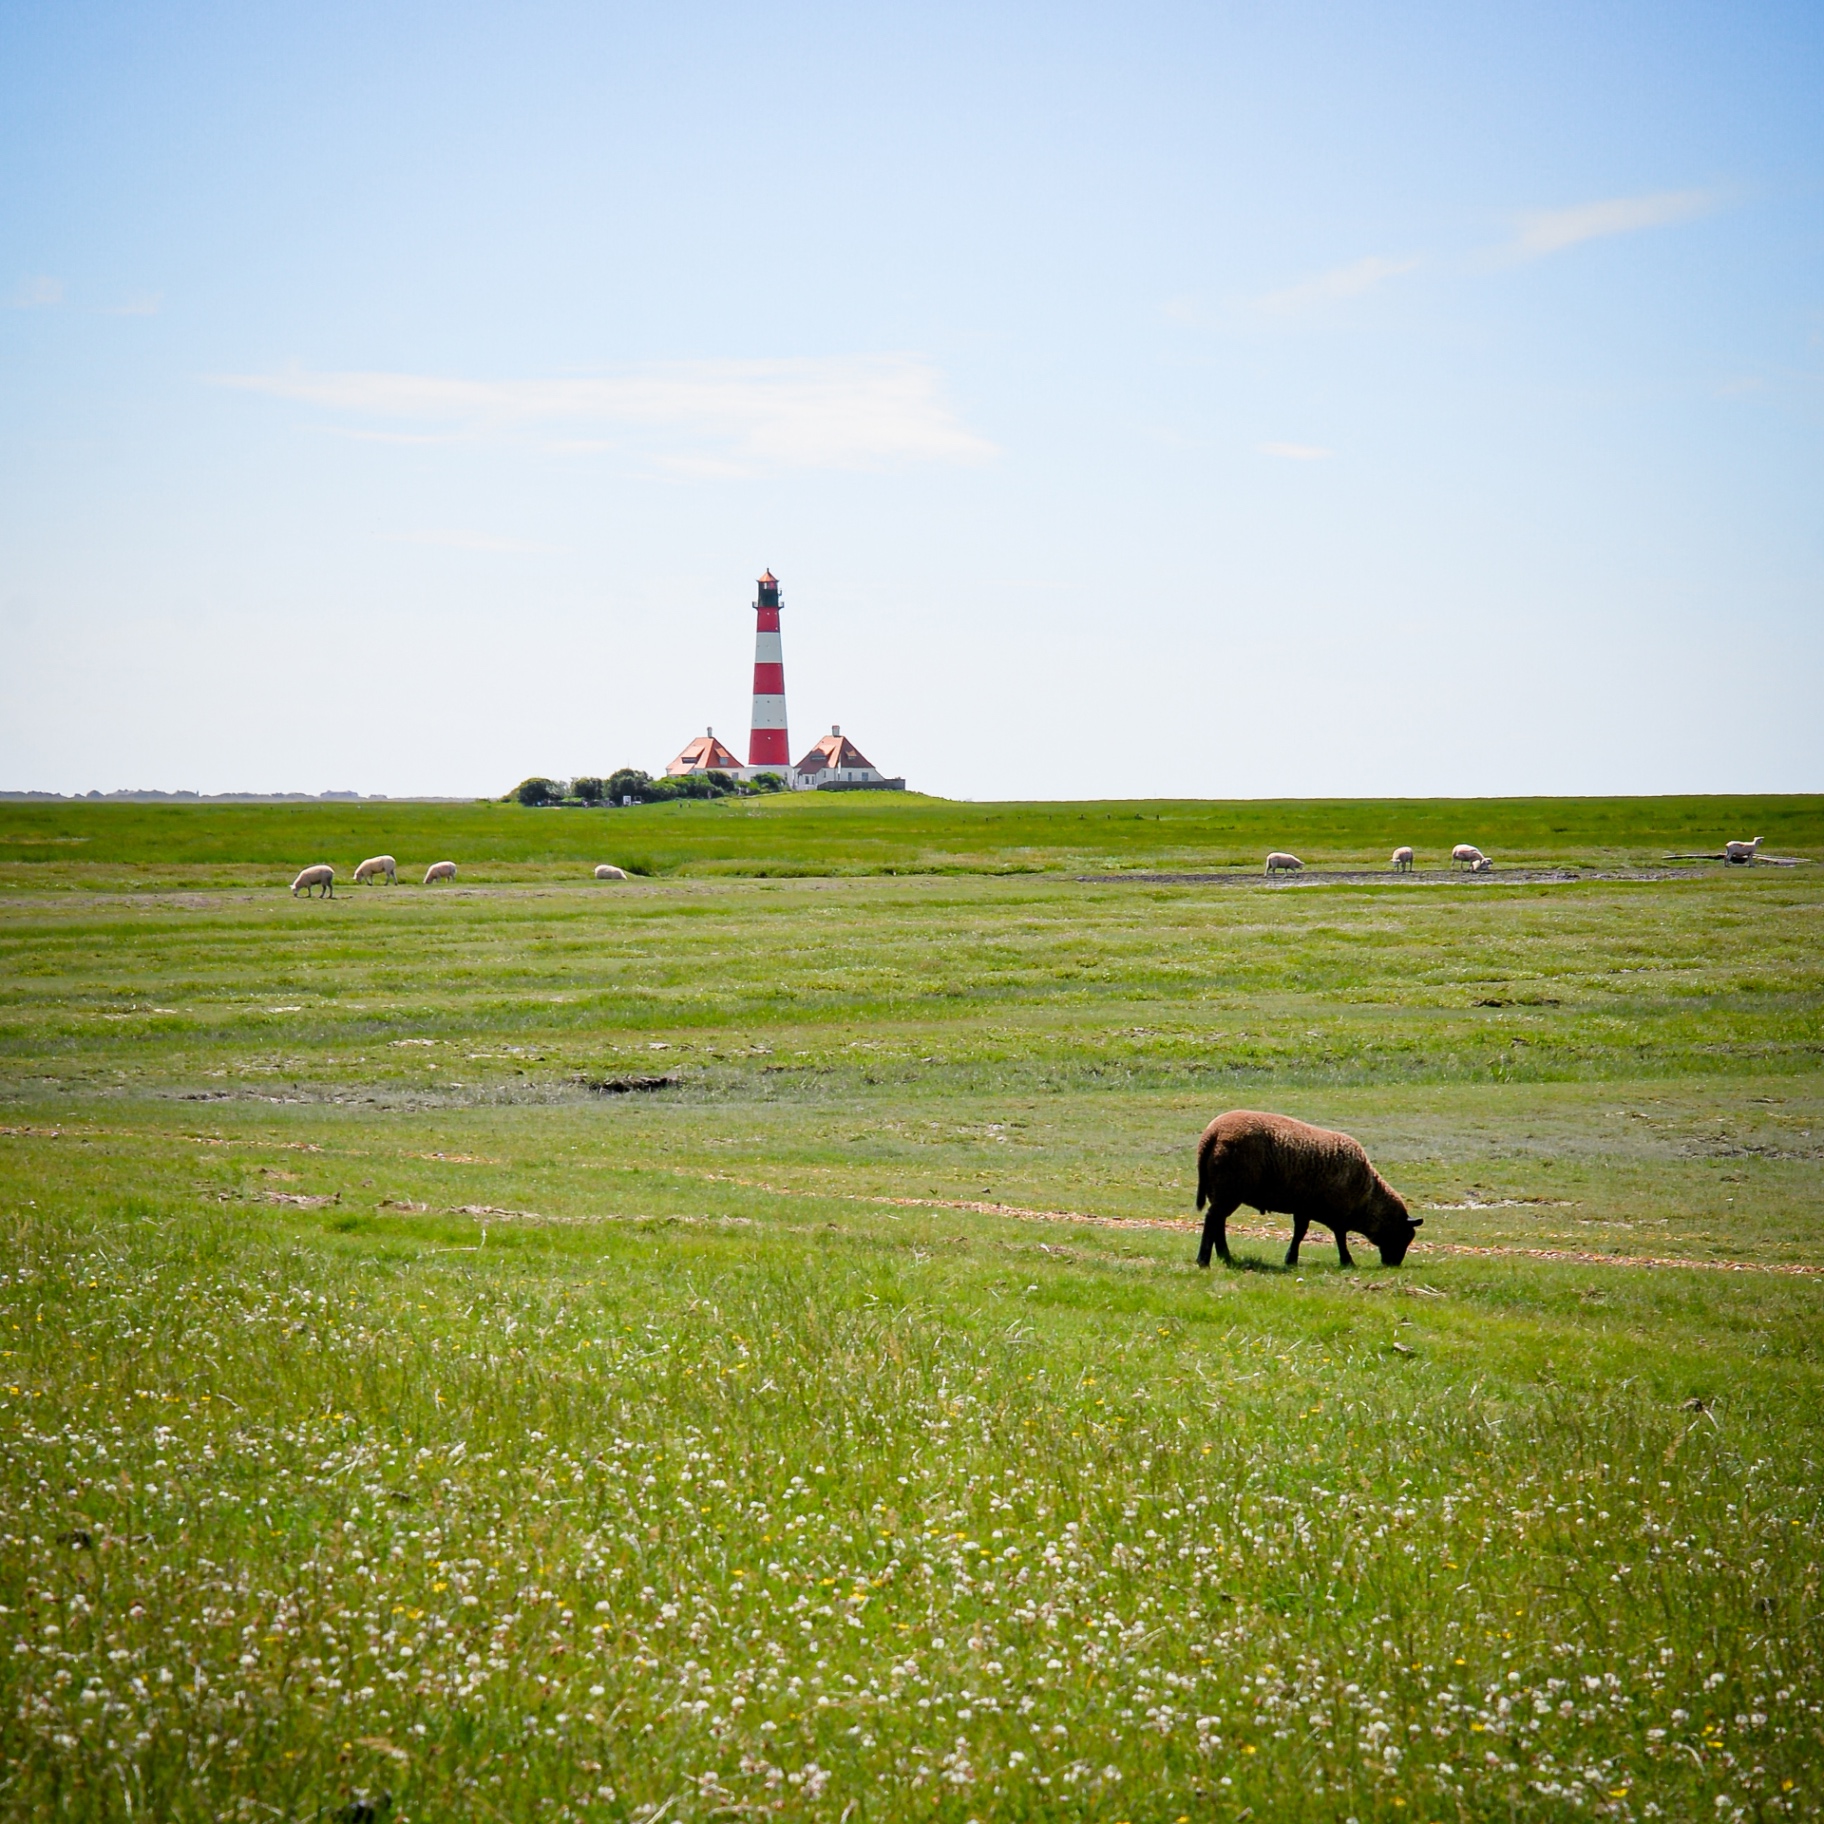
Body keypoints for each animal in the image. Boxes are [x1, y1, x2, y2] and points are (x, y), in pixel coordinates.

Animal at [1194, 1108, 1421, 1269]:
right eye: (1404, 1235)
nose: (1393, 1264)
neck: (1367, 1198)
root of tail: (1212, 1134)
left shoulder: (1304, 1207)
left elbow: (1300, 1233)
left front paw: (1291, 1259)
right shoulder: (1337, 1211)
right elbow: (1339, 1236)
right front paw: (1347, 1261)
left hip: (1221, 1190)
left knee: (1219, 1221)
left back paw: (1225, 1256)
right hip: (1230, 1189)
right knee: (1213, 1219)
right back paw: (1203, 1260)